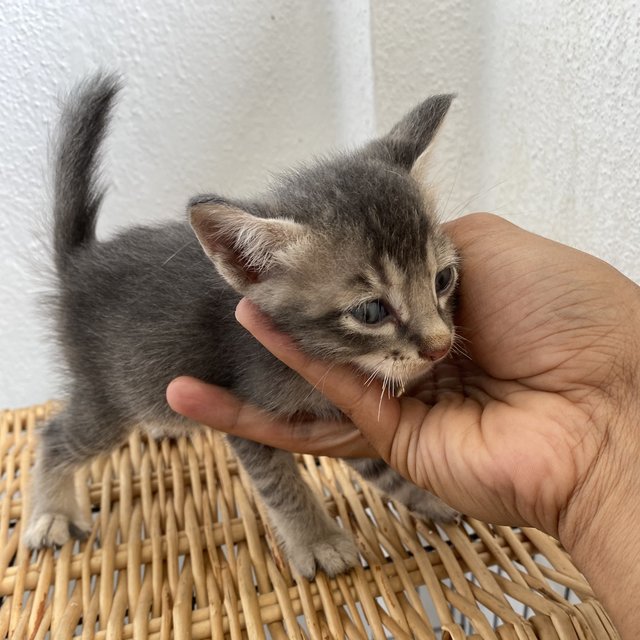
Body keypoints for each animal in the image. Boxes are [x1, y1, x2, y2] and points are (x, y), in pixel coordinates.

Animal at [25, 75, 460, 580]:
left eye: (443, 279)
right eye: (371, 312)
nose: (439, 346)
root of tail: (80, 262)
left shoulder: (342, 423)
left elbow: (388, 467)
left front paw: (430, 497)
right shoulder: (247, 415)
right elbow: (282, 485)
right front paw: (319, 541)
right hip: (107, 396)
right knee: (55, 436)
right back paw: (50, 513)